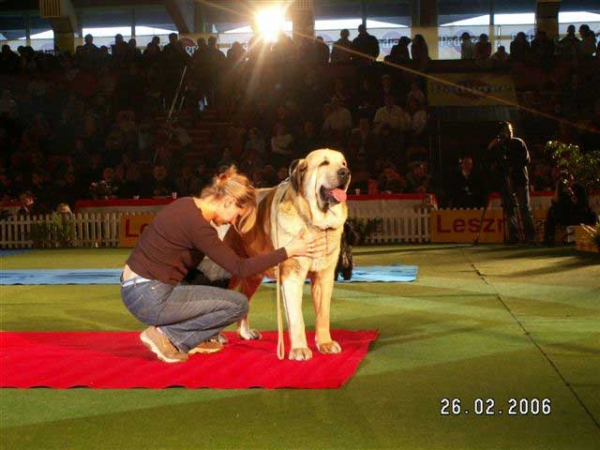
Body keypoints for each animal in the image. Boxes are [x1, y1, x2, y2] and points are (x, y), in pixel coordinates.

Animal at [230, 149, 352, 360]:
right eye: (324, 163)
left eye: (343, 163)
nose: (345, 172)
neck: (314, 223)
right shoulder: (291, 277)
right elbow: (297, 318)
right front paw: (299, 349)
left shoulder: (324, 277)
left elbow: (323, 314)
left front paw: (325, 343)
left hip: (253, 274)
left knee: (243, 297)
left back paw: (245, 333)